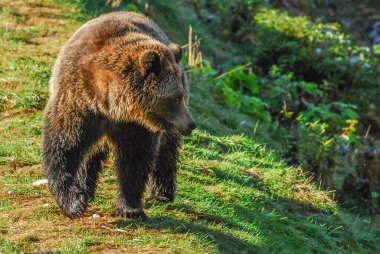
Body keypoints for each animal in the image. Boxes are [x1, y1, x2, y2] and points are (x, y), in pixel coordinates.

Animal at [42, 10, 196, 219]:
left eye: (180, 95)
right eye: (175, 97)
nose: (191, 124)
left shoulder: (134, 125)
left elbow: (135, 160)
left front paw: (131, 208)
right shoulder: (77, 104)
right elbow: (63, 147)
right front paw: (74, 202)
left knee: (166, 151)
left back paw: (162, 193)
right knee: (91, 155)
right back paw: (86, 188)